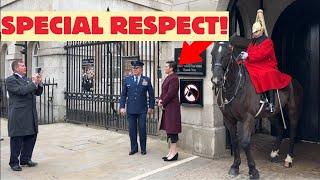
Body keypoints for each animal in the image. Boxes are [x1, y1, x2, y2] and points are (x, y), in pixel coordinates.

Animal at [211, 35, 304, 179]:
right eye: (212, 53)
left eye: (227, 53)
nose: (216, 80)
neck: (235, 86)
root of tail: (294, 81)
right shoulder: (228, 119)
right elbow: (234, 140)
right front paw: (235, 166)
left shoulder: (248, 118)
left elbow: (245, 142)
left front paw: (253, 170)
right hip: (272, 114)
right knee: (280, 130)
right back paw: (274, 153)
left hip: (293, 112)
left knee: (293, 132)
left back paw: (288, 159)